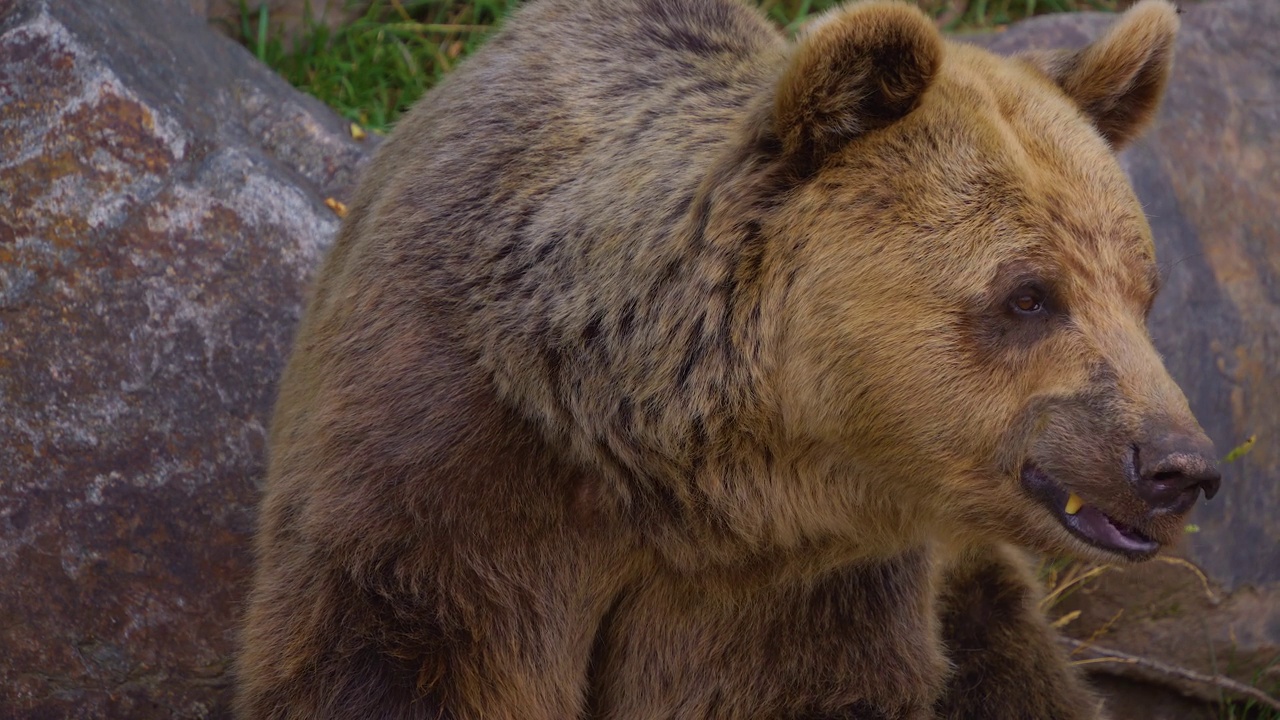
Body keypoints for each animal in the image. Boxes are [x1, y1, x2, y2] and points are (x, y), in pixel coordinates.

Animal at [235, 1, 1223, 712]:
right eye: (1028, 295)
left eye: (1142, 289)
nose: (1178, 465)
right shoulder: (449, 465)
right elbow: (400, 649)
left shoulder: (792, 588)